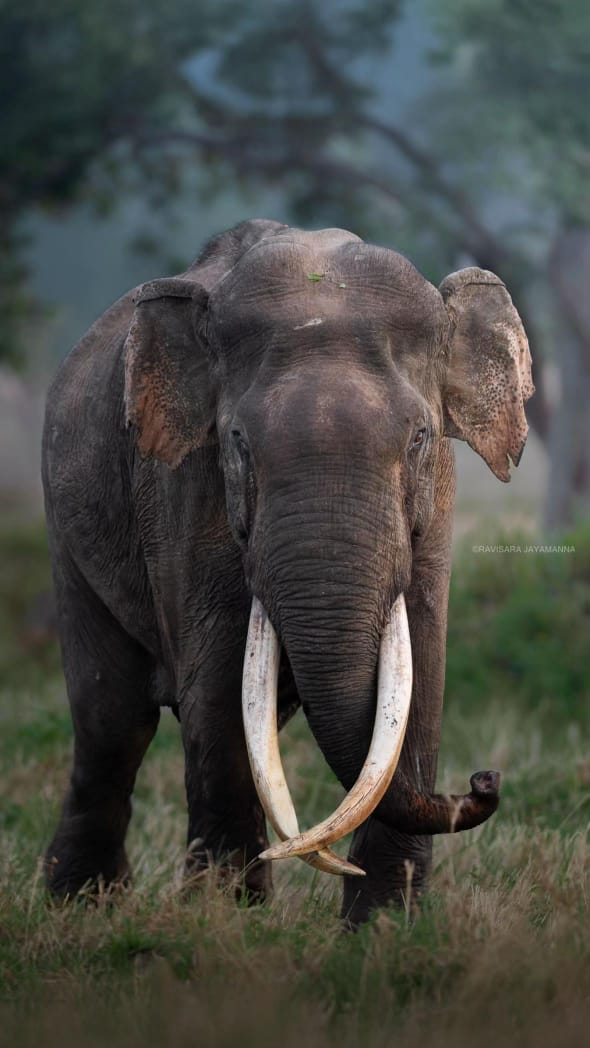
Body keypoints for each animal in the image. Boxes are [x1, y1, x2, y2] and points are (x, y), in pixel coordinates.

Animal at [42, 219, 533, 926]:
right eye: (238, 442)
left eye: (420, 437)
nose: (485, 780)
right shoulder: (185, 495)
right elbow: (219, 688)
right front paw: (224, 921)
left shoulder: (437, 503)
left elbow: (422, 674)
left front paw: (386, 928)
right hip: (68, 529)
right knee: (112, 720)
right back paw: (79, 906)